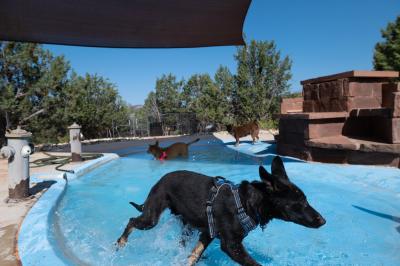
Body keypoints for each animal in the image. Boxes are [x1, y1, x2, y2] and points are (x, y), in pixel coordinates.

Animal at [116, 156, 324, 266]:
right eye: (301, 202)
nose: (323, 220)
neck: (246, 203)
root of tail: (160, 180)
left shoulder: (207, 233)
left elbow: (194, 254)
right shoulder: (231, 245)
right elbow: (254, 264)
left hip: (187, 225)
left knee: (182, 242)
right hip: (151, 218)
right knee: (131, 221)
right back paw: (120, 244)